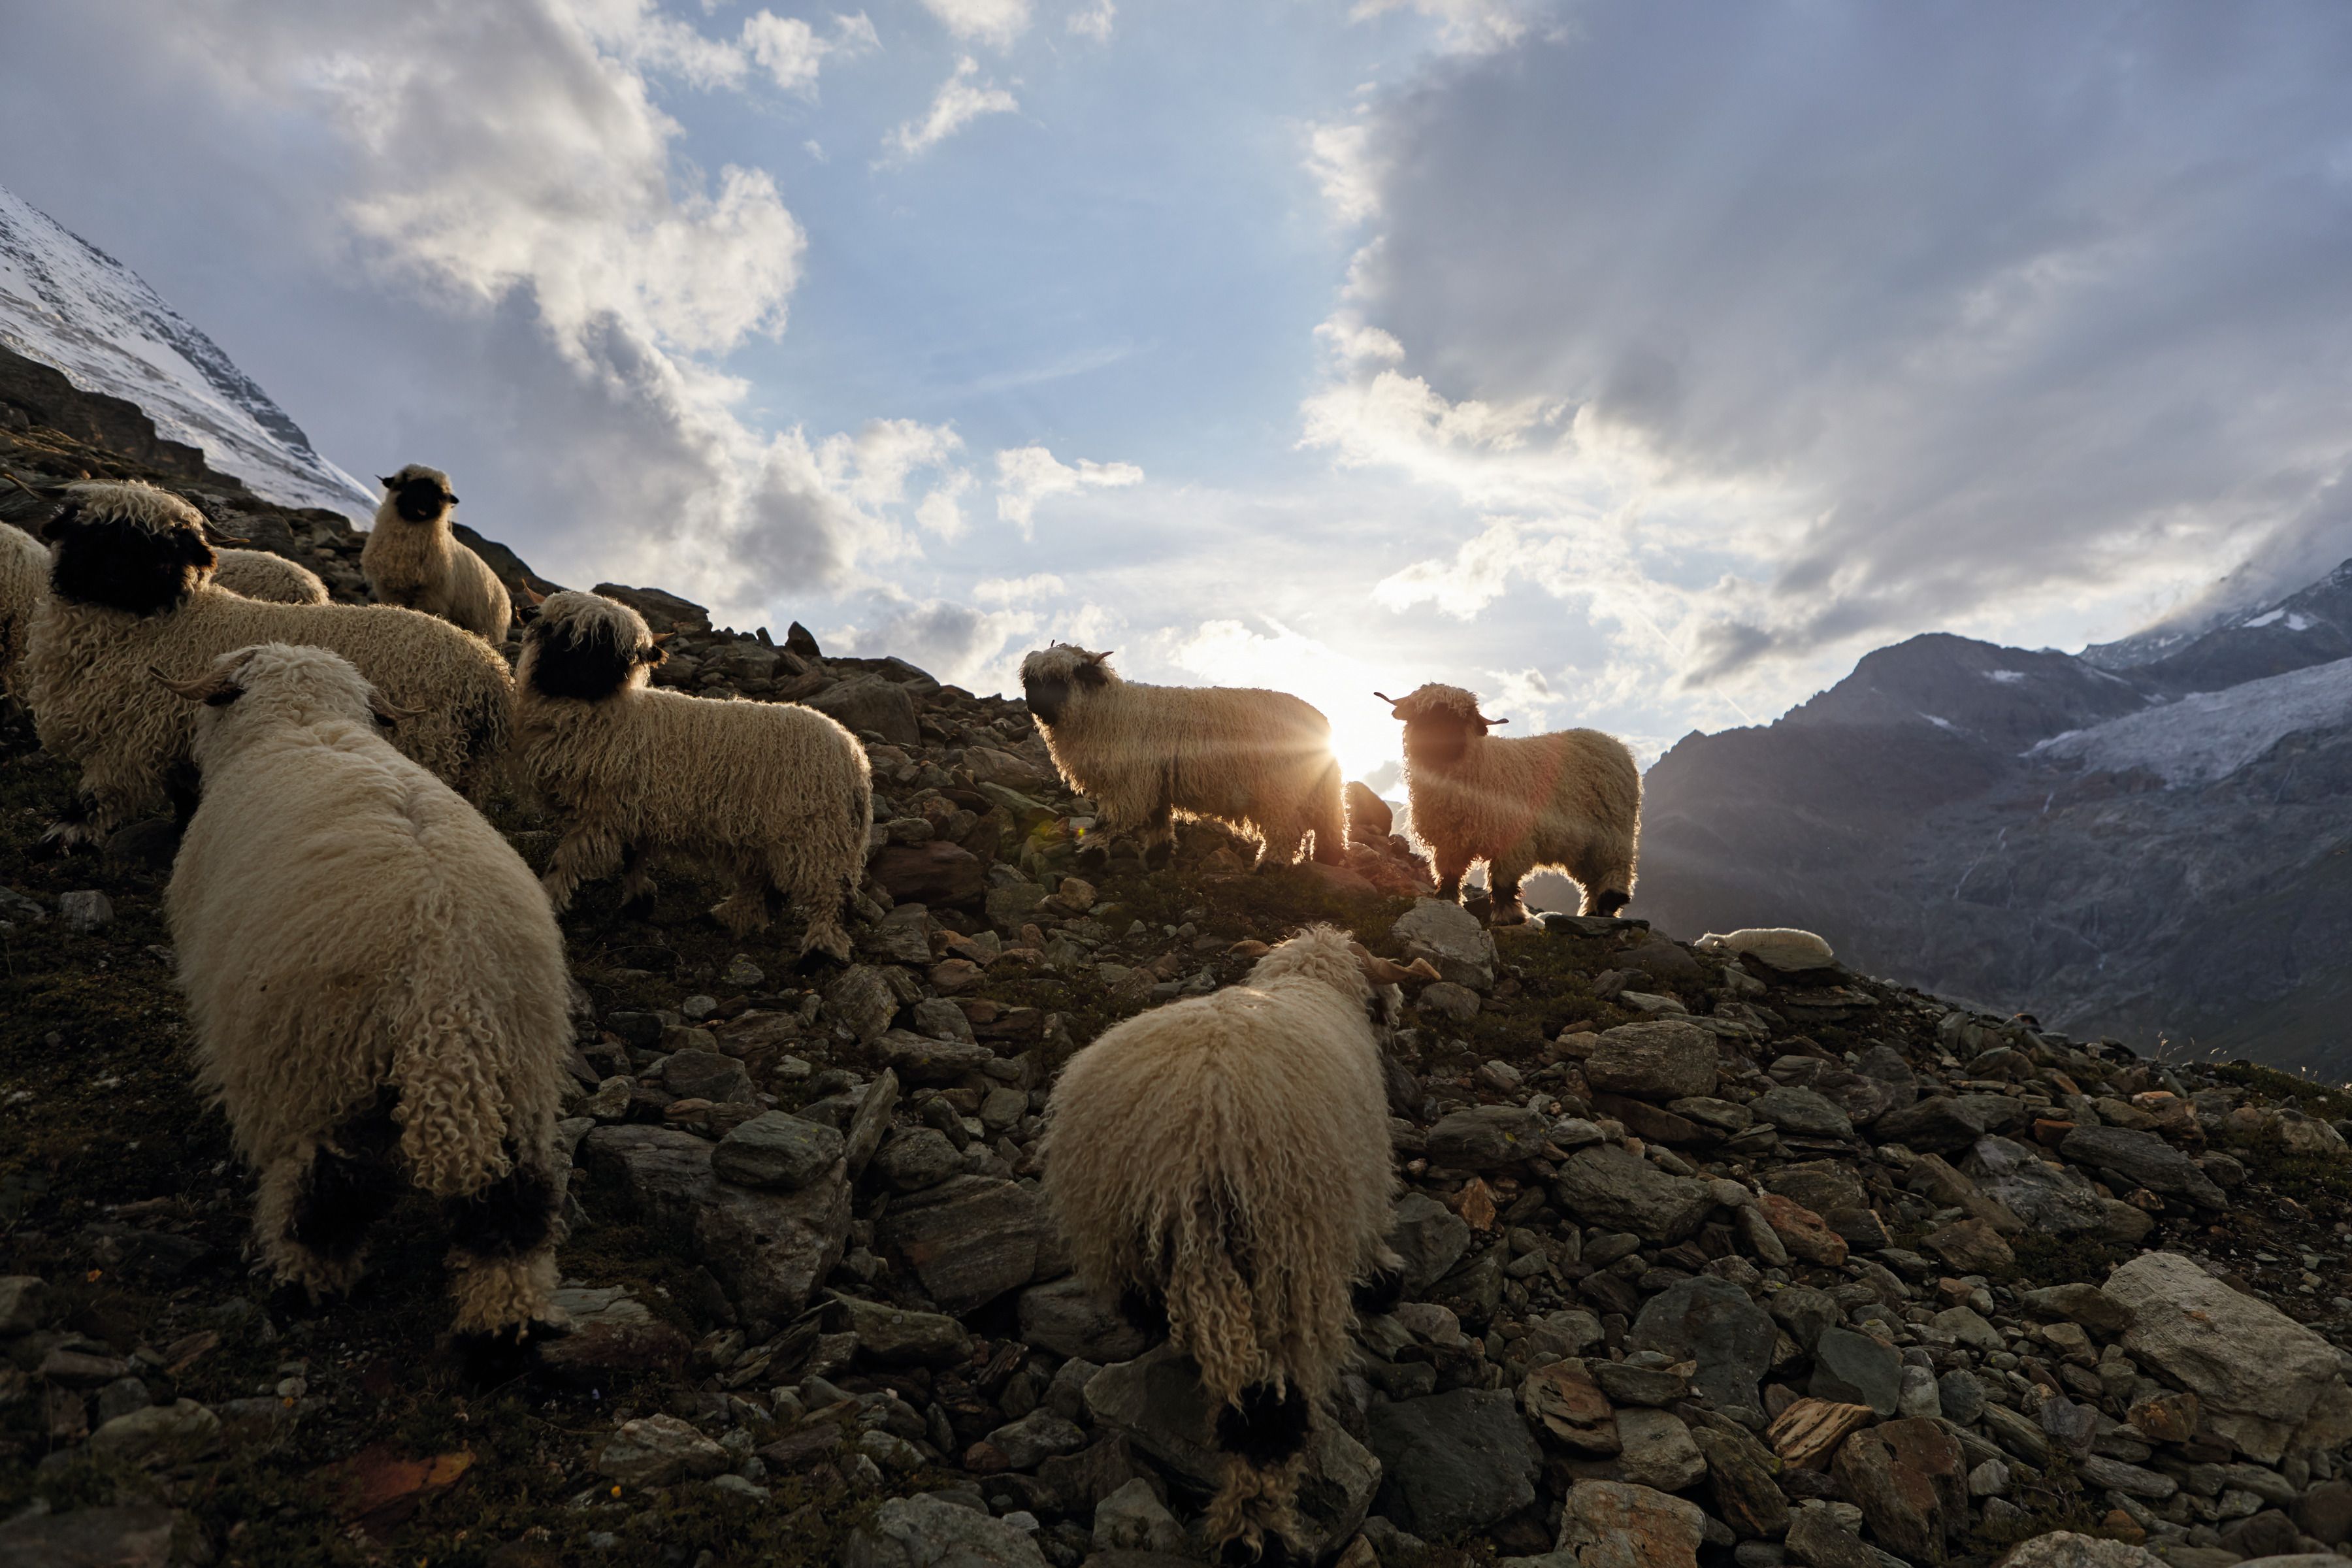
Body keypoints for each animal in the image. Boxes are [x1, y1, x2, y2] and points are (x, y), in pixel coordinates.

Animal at [157, 641, 570, 1360]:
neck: (304, 721)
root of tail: (447, 983)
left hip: (315, 1074)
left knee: (325, 1195)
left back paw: (303, 1286)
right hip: (520, 1076)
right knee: (512, 1205)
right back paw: (504, 1329)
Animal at [513, 590, 872, 960]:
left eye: (615, 653)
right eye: (560, 633)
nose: (583, 676)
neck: (605, 713)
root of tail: (855, 756)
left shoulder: (601, 813)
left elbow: (565, 862)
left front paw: (550, 898)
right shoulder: (631, 808)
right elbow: (632, 856)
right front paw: (639, 900)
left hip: (815, 834)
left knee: (827, 895)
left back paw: (819, 950)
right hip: (768, 835)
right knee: (762, 884)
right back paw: (727, 918)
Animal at [1019, 642, 1347, 872]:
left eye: (1060, 680)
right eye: (1030, 681)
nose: (1033, 706)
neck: (1111, 711)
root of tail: (1321, 722)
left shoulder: (1132, 783)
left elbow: (1106, 822)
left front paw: (1091, 855)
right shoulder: (1154, 780)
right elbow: (1158, 819)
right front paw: (1157, 856)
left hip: (1280, 788)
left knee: (1286, 829)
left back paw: (1271, 865)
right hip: (1316, 787)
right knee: (1328, 822)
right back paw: (1329, 858)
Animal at [1043, 924, 1429, 1564]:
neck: (1309, 983)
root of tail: (1190, 1139)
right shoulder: (1364, 1176)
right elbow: (1375, 1232)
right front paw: (1384, 1280)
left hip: (1127, 1238)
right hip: (1283, 1271)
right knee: (1268, 1417)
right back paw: (1256, 1533)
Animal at [1378, 683, 1640, 925]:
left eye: (1463, 717)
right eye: (1425, 714)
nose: (1444, 741)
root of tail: (1612, 742)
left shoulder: (1513, 838)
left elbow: (1503, 881)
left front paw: (1508, 915)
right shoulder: (1450, 839)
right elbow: (1449, 872)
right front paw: (1447, 900)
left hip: (1612, 831)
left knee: (1616, 867)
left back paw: (1608, 903)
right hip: (1583, 844)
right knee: (1593, 877)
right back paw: (1594, 910)